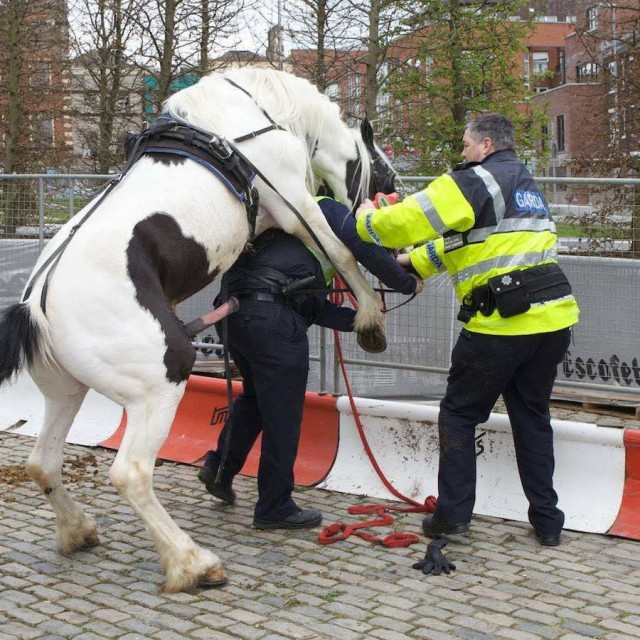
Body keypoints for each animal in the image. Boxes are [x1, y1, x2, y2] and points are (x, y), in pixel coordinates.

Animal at [0, 67, 396, 592]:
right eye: (381, 167)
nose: (392, 192)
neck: (256, 114)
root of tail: (36, 307)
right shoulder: (296, 206)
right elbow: (342, 253)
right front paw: (371, 316)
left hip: (68, 392)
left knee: (43, 462)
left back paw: (79, 530)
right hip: (160, 386)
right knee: (131, 473)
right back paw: (192, 562)